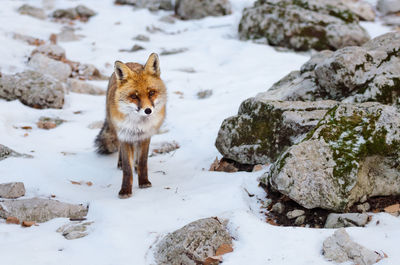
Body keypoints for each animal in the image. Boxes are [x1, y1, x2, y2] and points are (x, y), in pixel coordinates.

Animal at [94, 53, 166, 198]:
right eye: (134, 96)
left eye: (151, 93)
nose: (148, 110)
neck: (137, 124)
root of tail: (131, 62)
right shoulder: (125, 136)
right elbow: (127, 169)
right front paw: (125, 190)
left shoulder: (145, 135)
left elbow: (143, 161)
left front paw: (144, 182)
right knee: (121, 152)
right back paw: (121, 163)